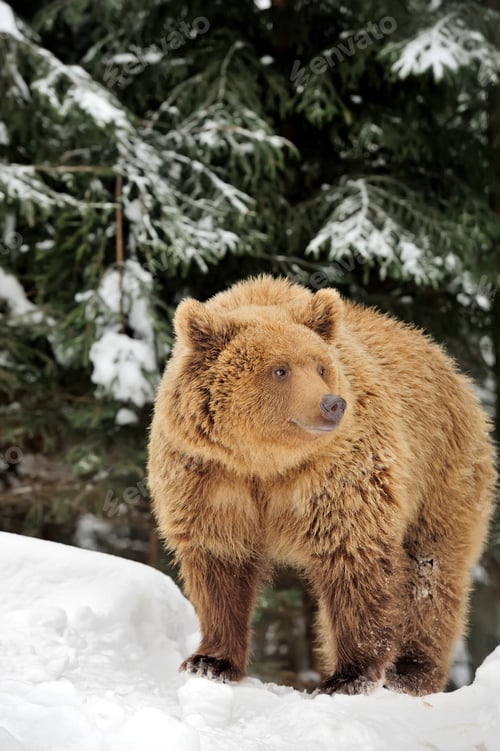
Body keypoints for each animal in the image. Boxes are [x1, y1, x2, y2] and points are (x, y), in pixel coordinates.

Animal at [148, 275, 497, 696]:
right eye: (280, 370)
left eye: (320, 367)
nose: (332, 404)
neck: (265, 462)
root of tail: (453, 368)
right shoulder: (211, 479)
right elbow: (220, 566)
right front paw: (210, 661)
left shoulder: (337, 477)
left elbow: (353, 558)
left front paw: (350, 676)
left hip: (442, 475)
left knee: (430, 573)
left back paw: (412, 673)